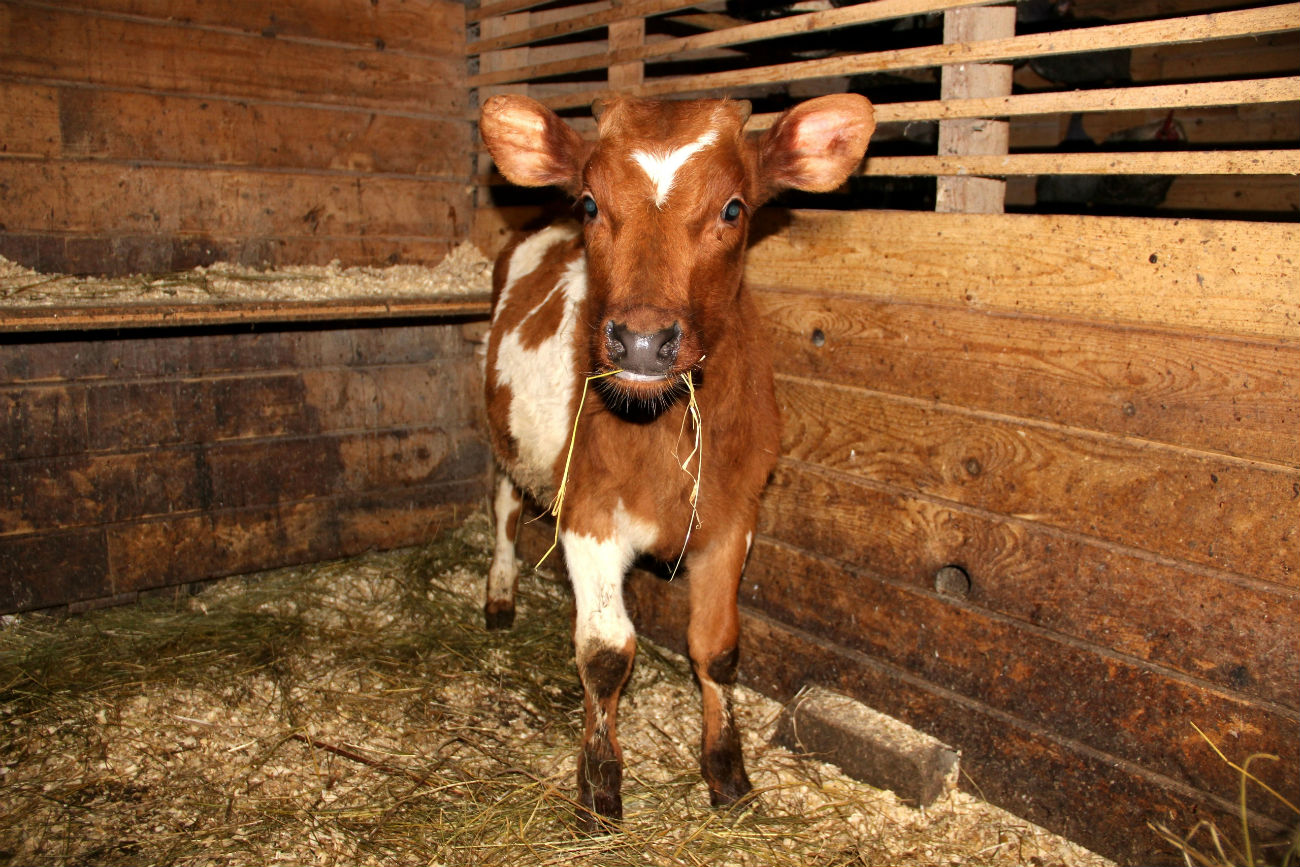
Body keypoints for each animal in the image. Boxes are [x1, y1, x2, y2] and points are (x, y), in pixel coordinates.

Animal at [475, 91, 873, 831]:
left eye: (734, 208)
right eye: (591, 204)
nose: (639, 340)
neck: (661, 433)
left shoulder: (734, 514)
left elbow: (716, 649)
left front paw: (729, 775)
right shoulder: (589, 514)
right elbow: (605, 653)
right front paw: (599, 790)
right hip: (504, 434)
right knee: (507, 507)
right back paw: (500, 595)